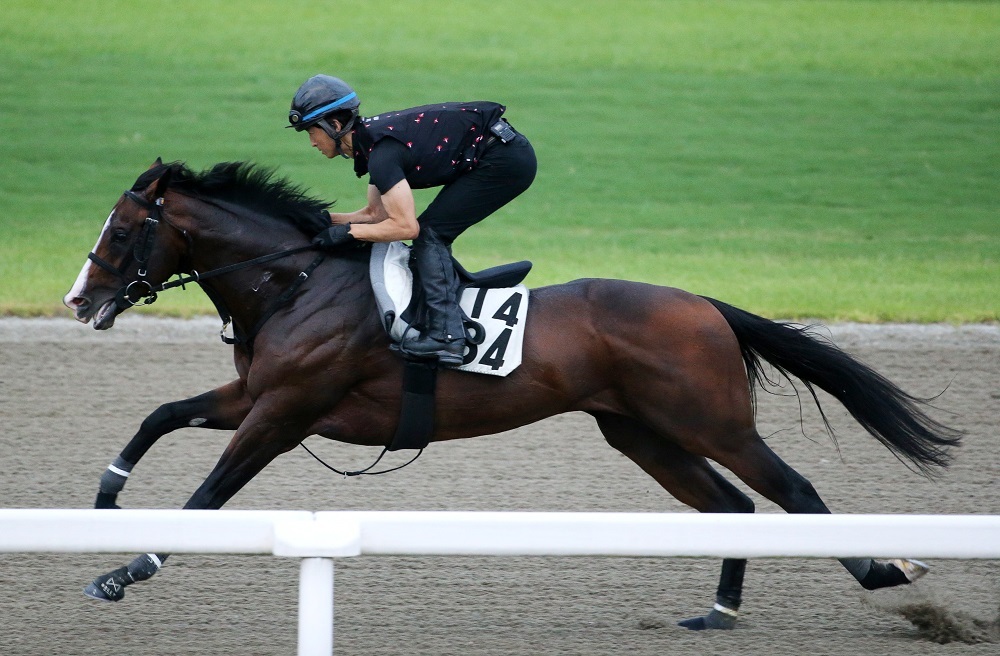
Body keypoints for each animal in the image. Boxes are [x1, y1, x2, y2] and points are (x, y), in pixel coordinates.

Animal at [64, 159, 960, 632]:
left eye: (121, 229)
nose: (78, 299)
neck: (298, 281)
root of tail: (704, 304)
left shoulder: (283, 413)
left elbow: (209, 494)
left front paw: (126, 570)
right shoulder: (256, 393)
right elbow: (160, 415)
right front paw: (105, 501)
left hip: (712, 422)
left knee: (795, 491)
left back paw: (887, 571)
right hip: (640, 433)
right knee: (734, 507)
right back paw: (716, 613)